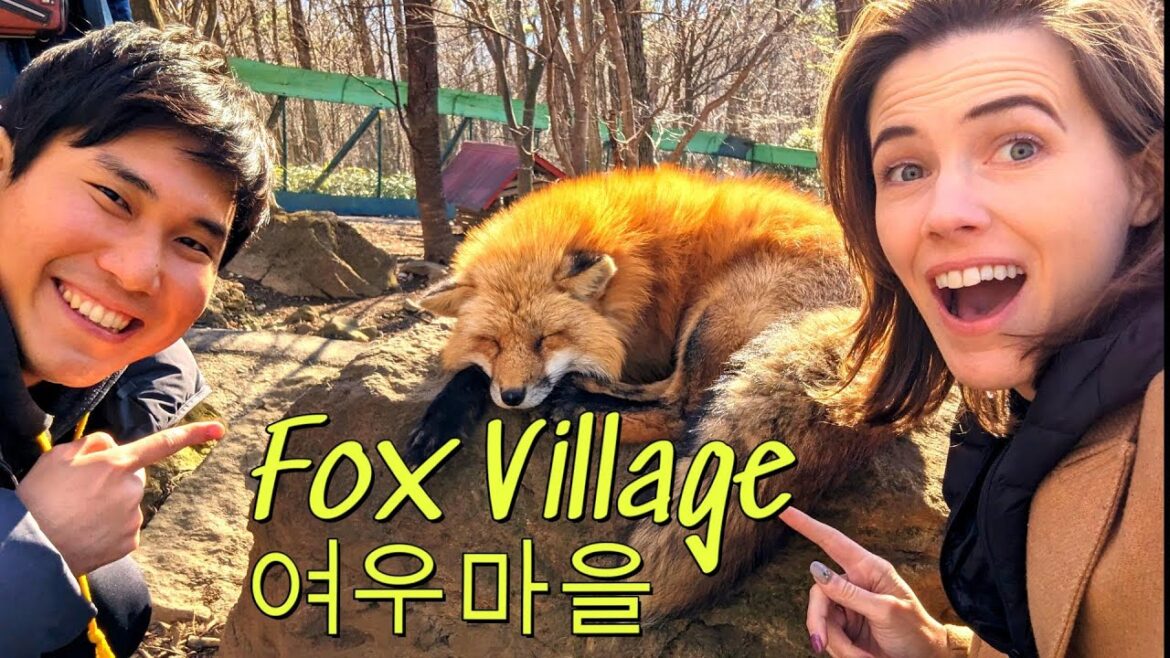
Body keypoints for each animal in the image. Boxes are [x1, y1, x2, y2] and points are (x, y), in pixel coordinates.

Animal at [404, 165, 859, 465]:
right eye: (492, 343)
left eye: (546, 339)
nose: (512, 398)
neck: (635, 275)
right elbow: (471, 373)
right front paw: (440, 423)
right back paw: (582, 391)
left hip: (712, 314)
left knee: (682, 410)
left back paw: (581, 411)